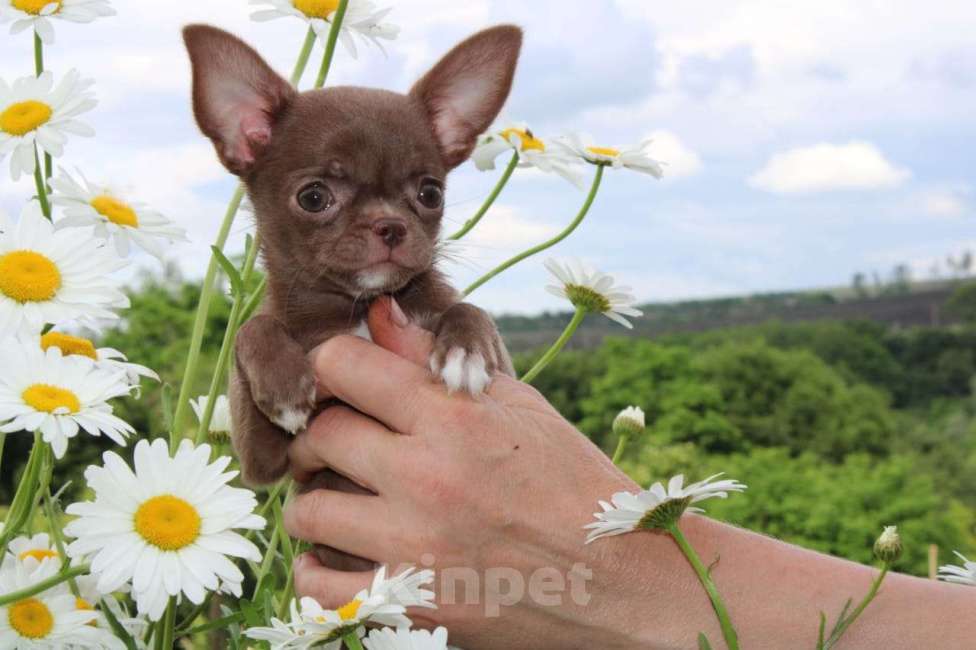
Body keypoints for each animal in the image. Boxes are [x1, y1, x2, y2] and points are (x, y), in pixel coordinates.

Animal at [182, 24, 520, 480]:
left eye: (430, 193)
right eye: (313, 197)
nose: (391, 225)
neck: (356, 307)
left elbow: (470, 309)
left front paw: (466, 351)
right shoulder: (261, 461)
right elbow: (251, 328)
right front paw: (283, 383)